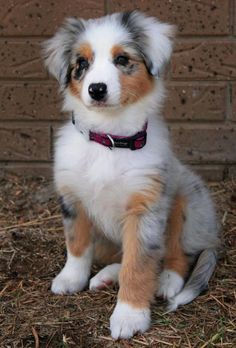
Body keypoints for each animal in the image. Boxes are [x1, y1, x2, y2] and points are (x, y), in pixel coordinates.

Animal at [43, 11, 220, 340]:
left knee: (177, 255)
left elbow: (138, 265)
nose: (96, 89)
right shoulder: (72, 198)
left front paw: (129, 316)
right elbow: (77, 244)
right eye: (81, 63)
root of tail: (213, 235)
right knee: (120, 257)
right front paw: (70, 279)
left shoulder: (145, 206)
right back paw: (105, 276)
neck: (110, 138)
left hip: (187, 203)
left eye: (122, 59)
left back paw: (167, 281)